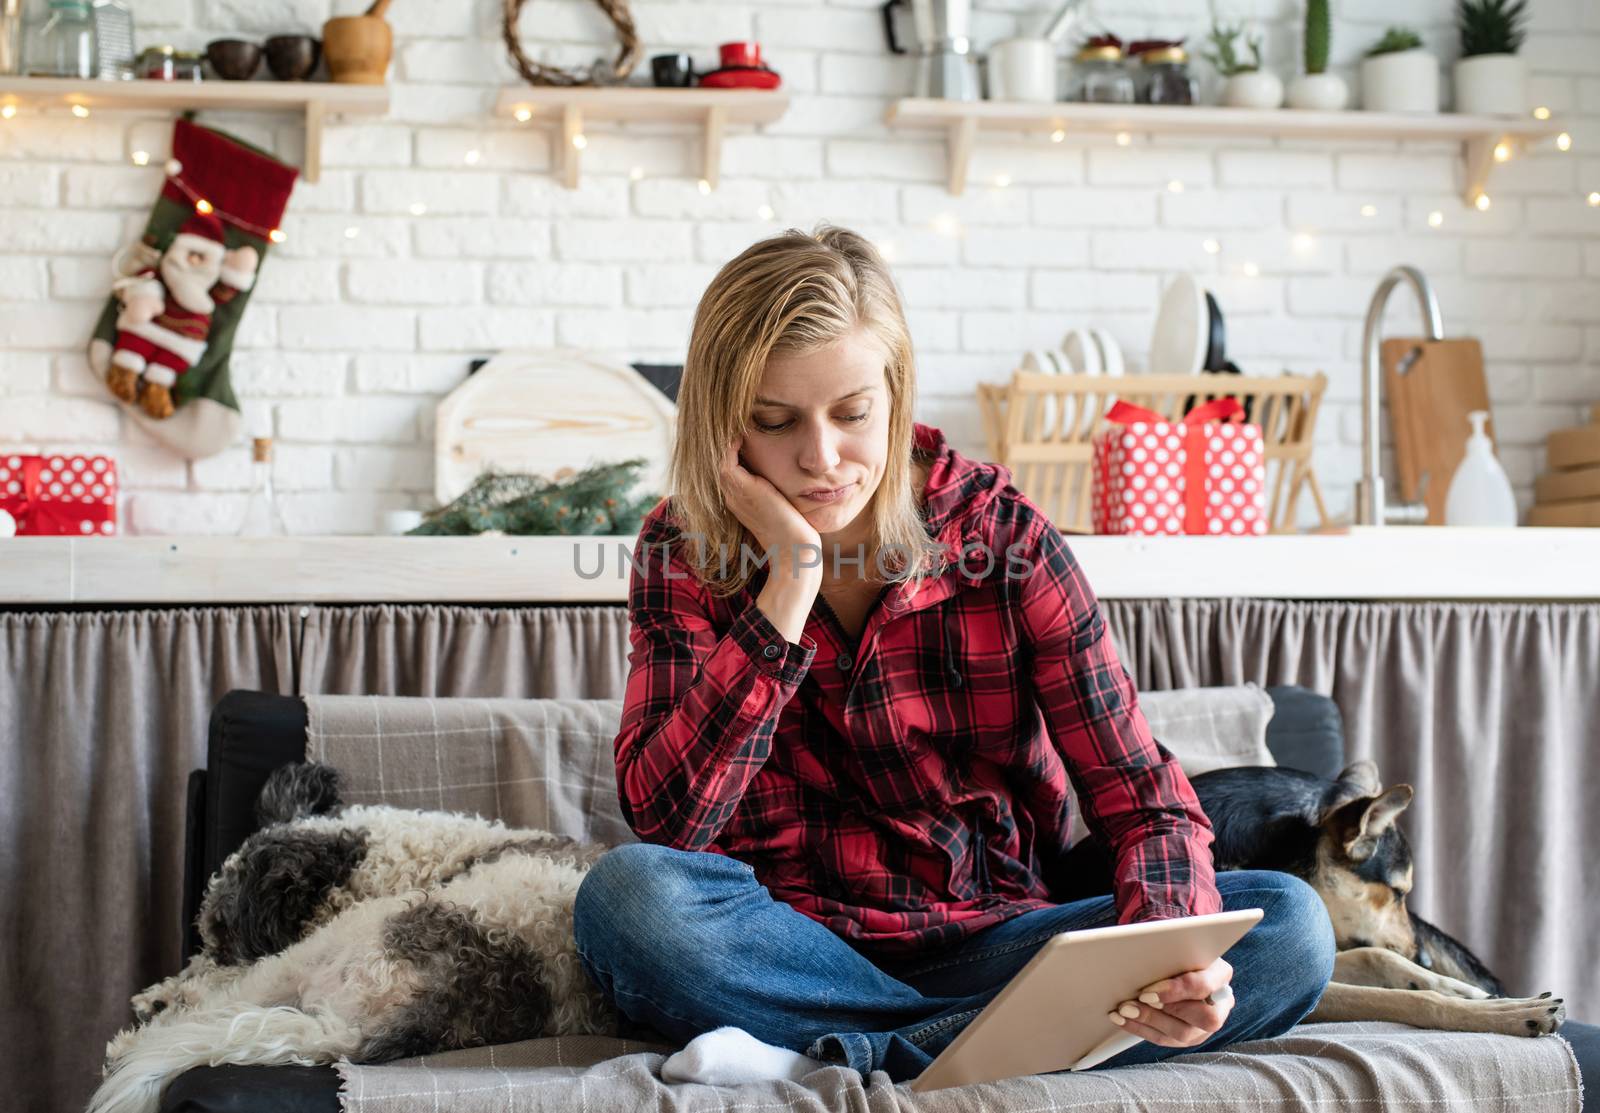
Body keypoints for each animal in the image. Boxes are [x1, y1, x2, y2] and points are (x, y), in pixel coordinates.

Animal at [89, 761, 617, 1113]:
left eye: (223, 943)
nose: (163, 993)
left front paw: (165, 1000)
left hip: (319, 951)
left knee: (212, 1010)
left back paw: (132, 1040)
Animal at [1049, 757, 1561, 1036]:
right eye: (1397, 893)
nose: (1426, 957)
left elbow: (1380, 958)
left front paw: (1470, 992)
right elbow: (1410, 1001)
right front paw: (1510, 1014)